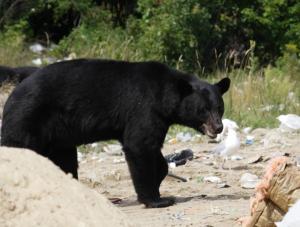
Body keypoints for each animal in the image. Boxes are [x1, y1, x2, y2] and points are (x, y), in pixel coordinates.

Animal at [1, 58, 230, 207]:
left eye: (219, 107)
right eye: (203, 109)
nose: (218, 127)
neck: (164, 95)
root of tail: (14, 91)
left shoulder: (158, 118)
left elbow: (153, 149)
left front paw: (160, 180)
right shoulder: (144, 108)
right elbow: (139, 145)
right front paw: (157, 200)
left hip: (58, 136)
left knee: (64, 160)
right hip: (28, 116)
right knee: (15, 144)